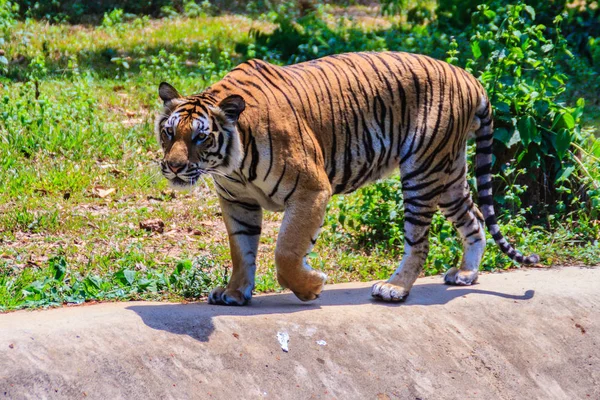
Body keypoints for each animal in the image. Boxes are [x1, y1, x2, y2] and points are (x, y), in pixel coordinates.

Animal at [155, 50, 540, 306]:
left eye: (200, 137)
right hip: (447, 173)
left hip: (422, 170)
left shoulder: (311, 189)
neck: (230, 164)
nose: (172, 167)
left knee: (420, 241)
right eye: (169, 132)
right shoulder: (237, 201)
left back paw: (394, 288)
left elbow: (287, 253)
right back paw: (465, 273)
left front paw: (311, 286)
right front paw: (235, 292)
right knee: (473, 217)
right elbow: (241, 250)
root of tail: (467, 75)